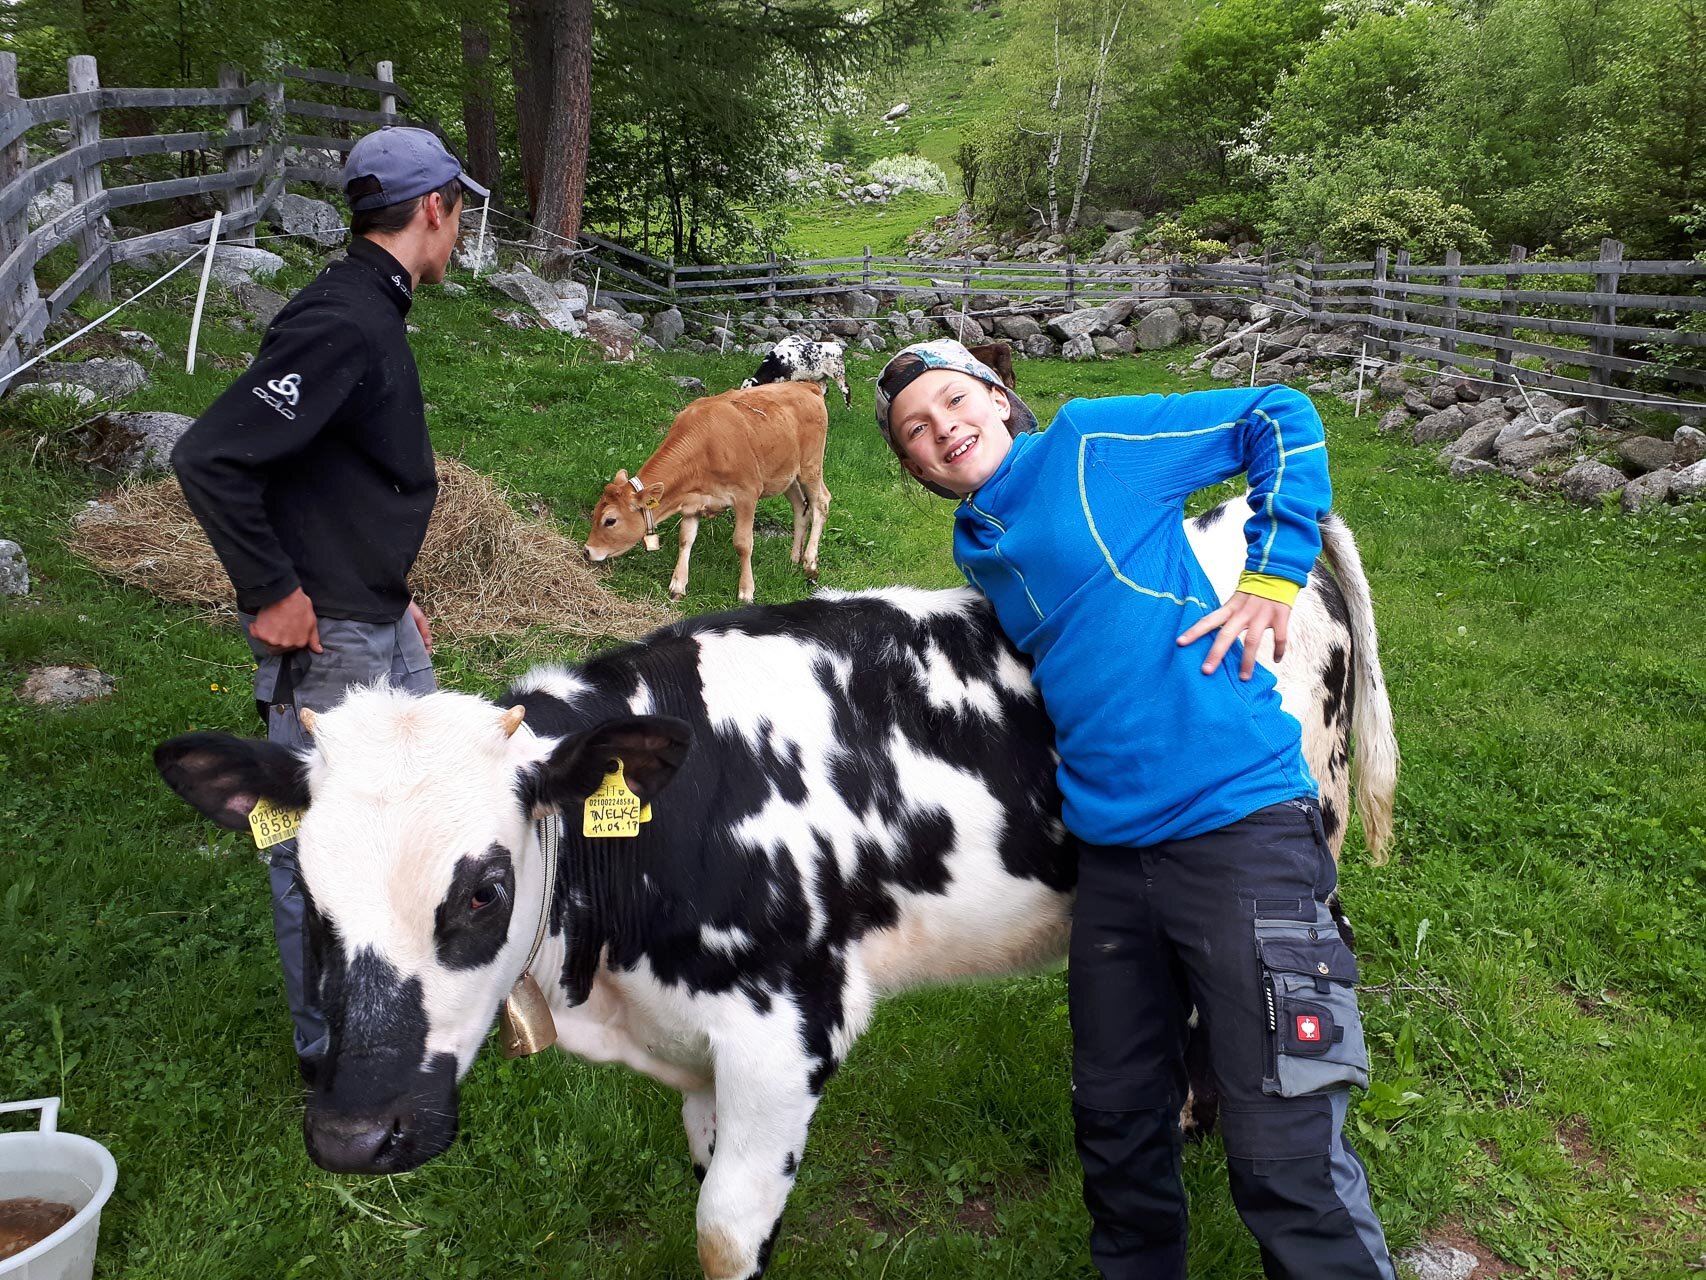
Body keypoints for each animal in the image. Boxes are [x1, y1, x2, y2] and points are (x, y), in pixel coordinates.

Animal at [153, 494, 1392, 1276]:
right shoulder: (700, 1056)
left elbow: (722, 1231)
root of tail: (1236, 517)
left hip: (1308, 844)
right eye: (307, 892)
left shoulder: (783, 1030)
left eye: (482, 890)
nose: (352, 1134)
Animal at [583, 380, 829, 607]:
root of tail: (806, 385)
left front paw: (746, 591)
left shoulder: (747, 495)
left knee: (821, 503)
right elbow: (685, 539)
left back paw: (810, 562)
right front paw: (678, 585)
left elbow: (743, 543)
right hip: (786, 475)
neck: (705, 450)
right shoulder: (692, 502)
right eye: (594, 513)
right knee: (800, 507)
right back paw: (794, 557)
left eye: (610, 520)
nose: (587, 551)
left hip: (811, 466)